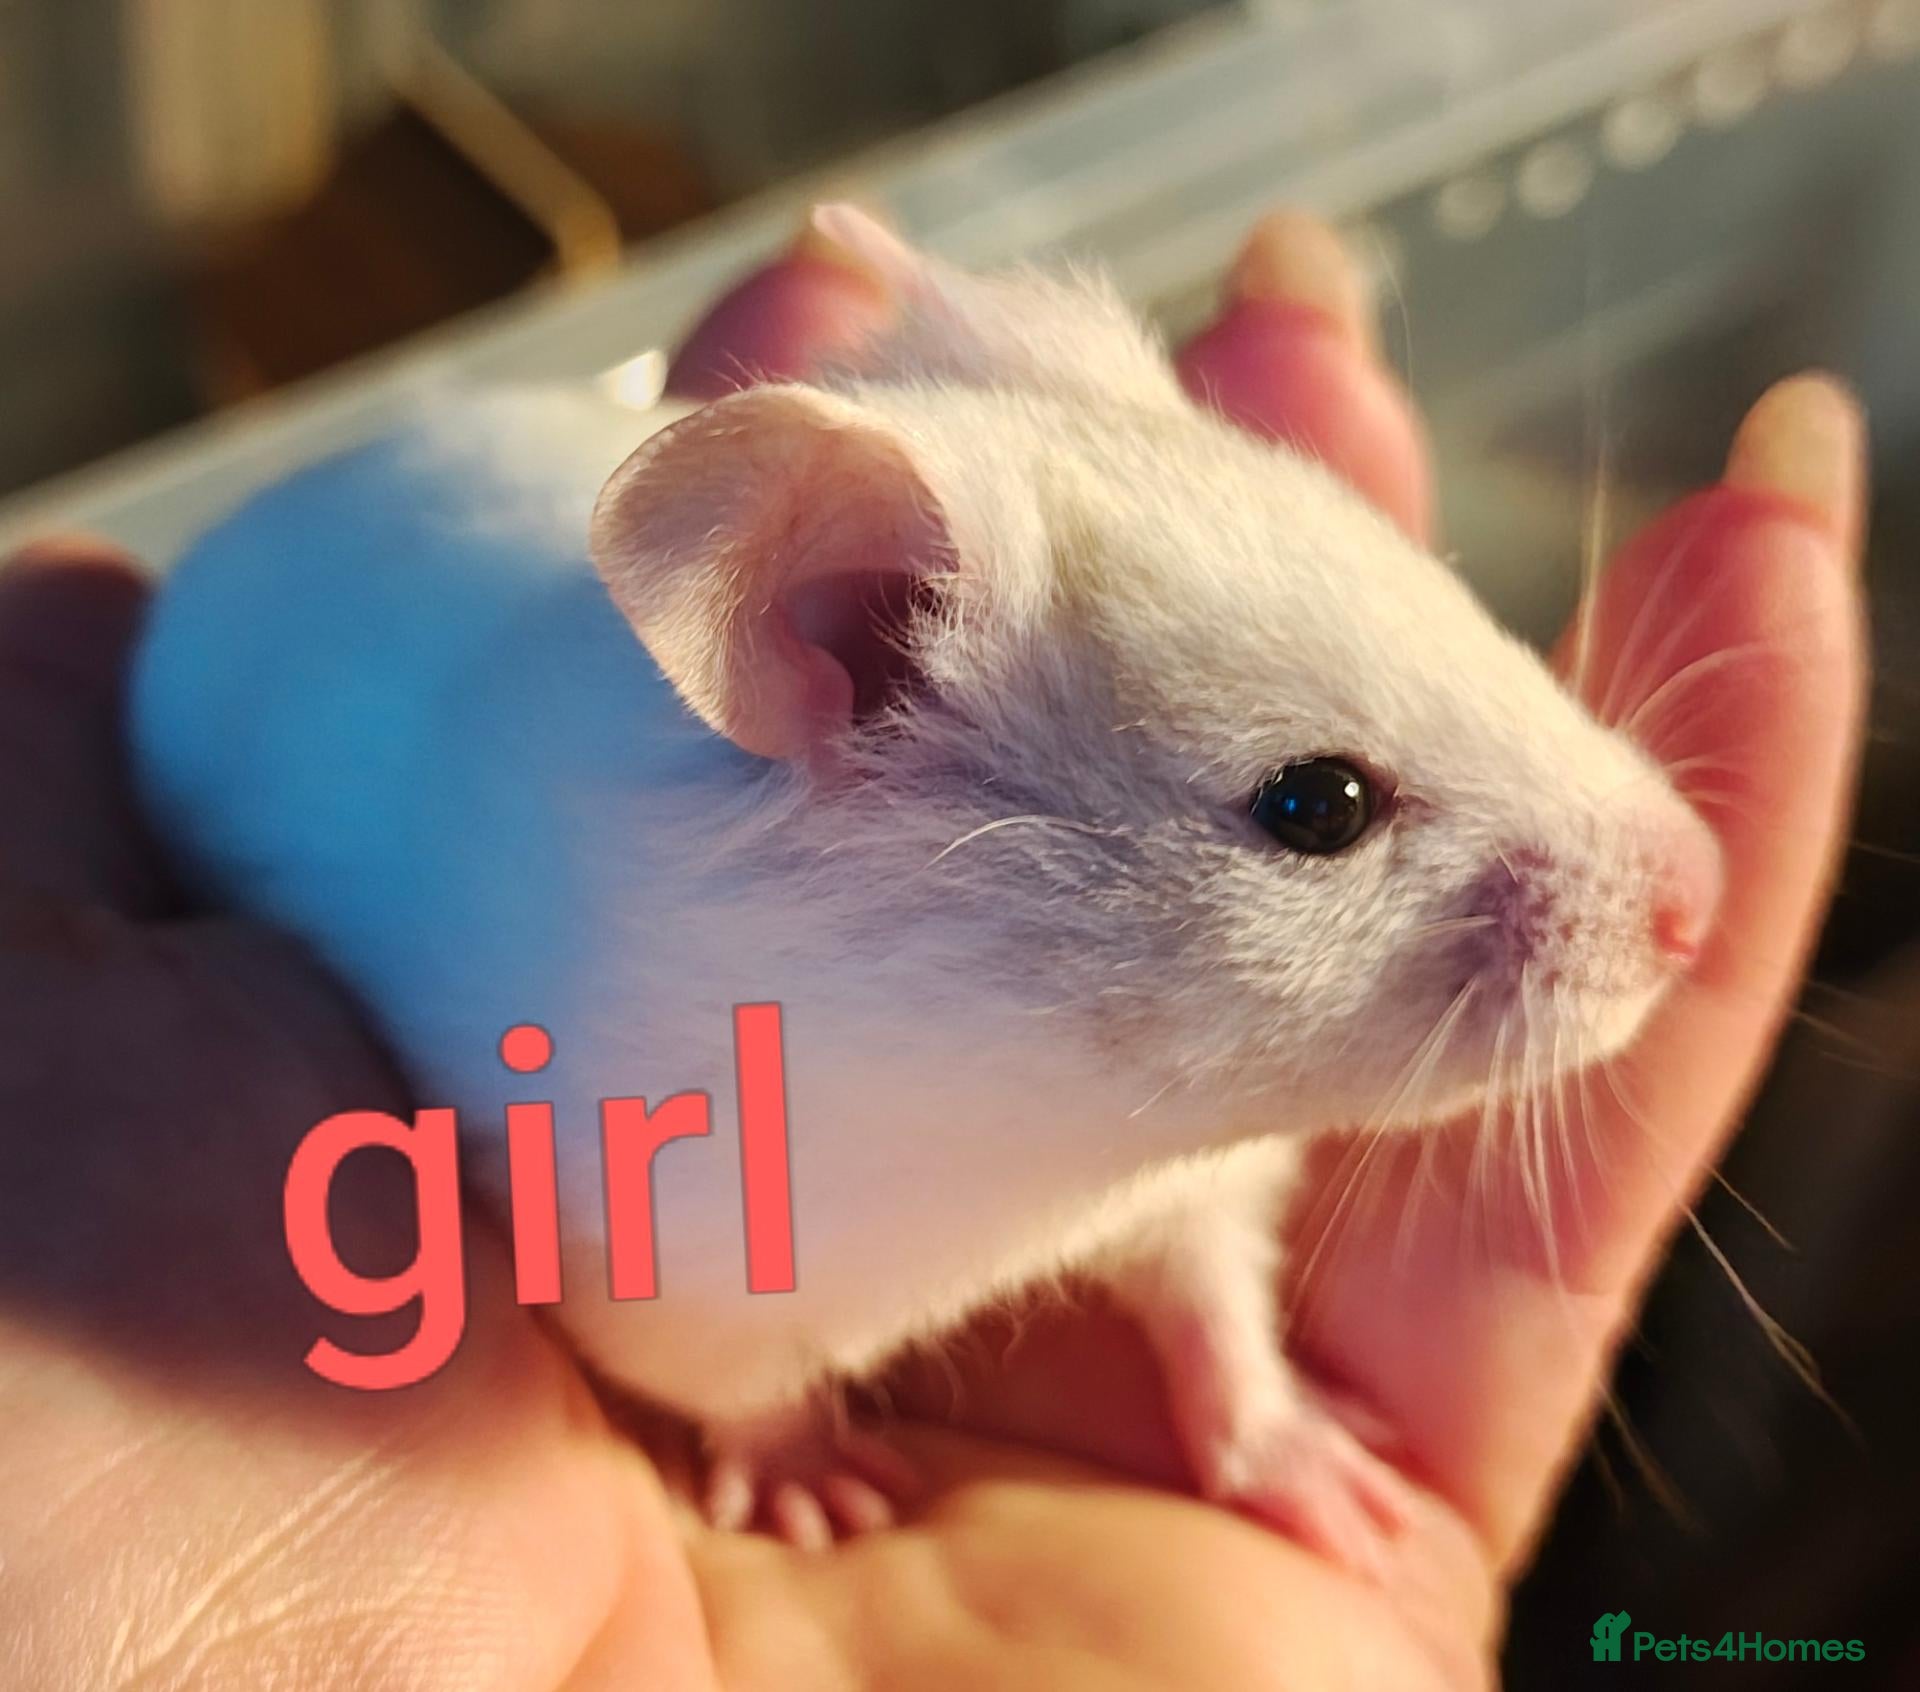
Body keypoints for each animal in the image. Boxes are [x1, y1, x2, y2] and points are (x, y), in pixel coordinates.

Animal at [129, 206, 1721, 1569]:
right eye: (1316, 807)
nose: (1702, 894)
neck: (1047, 1114)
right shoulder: (677, 1280)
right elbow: (753, 1395)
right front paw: (828, 1502)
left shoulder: (1200, 1193)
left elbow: (1219, 1314)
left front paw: (1345, 1486)